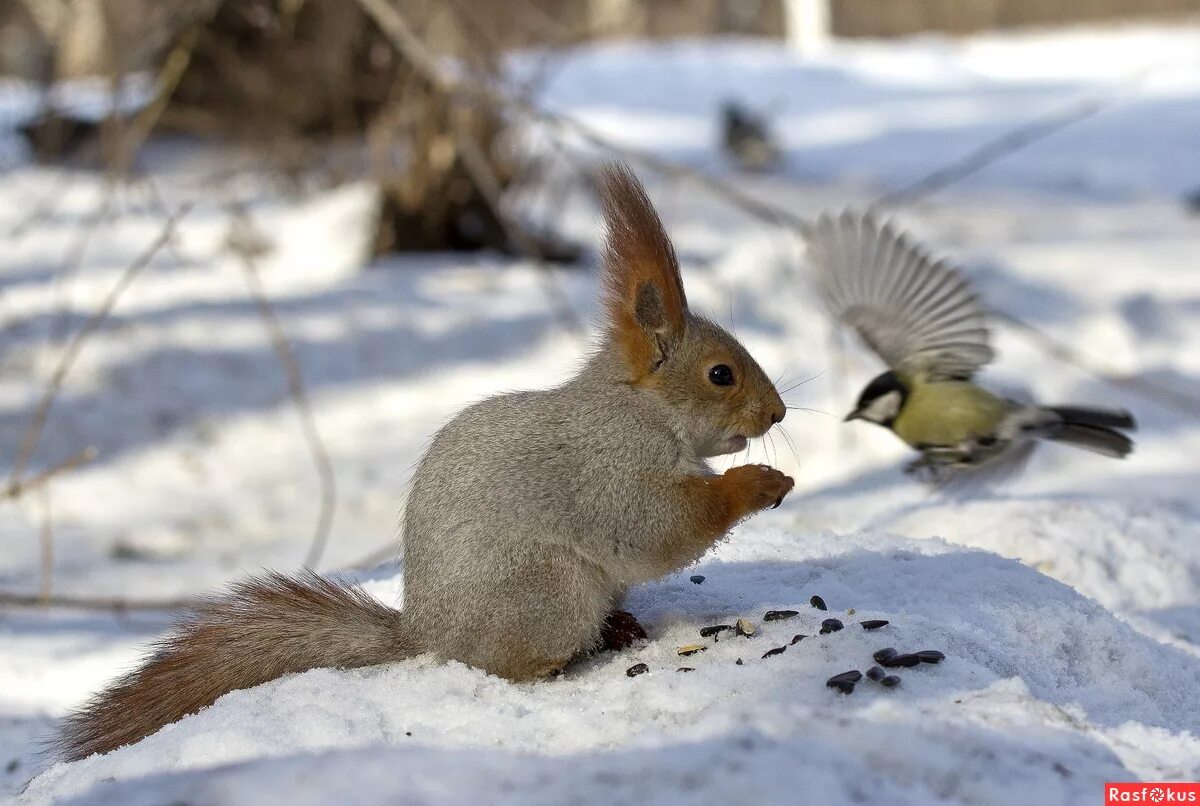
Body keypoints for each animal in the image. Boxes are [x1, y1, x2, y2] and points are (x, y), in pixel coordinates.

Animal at [56, 161, 792, 762]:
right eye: (721, 375)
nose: (779, 414)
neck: (643, 408)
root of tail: (427, 636)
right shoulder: (609, 467)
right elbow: (652, 530)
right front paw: (758, 484)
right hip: (547, 586)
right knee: (505, 662)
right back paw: (557, 663)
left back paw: (620, 626)